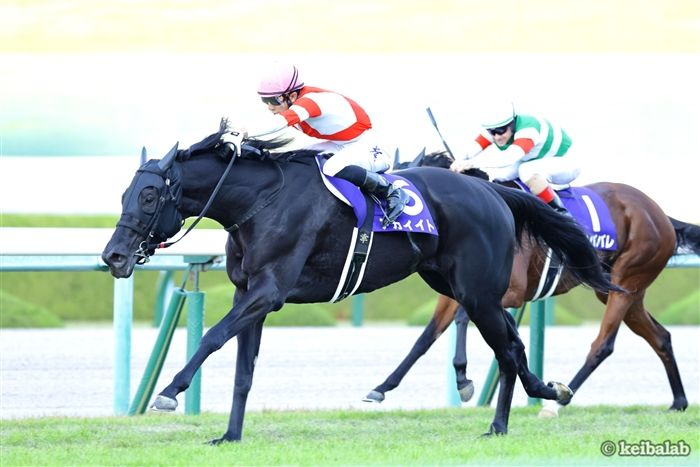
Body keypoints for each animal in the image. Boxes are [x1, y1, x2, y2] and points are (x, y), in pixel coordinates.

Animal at [102, 124, 622, 443]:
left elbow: (211, 337)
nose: (114, 256)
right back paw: (540, 397)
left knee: (508, 348)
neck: (261, 201)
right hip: (460, 288)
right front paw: (230, 435)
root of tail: (491, 188)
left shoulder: (268, 293)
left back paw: (511, 416)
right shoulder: (248, 293)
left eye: (149, 196)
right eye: (124, 193)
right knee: (510, 344)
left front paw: (170, 391)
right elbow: (243, 370)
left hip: (477, 292)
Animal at [365, 151, 699, 416]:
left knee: (602, 345)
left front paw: (463, 378)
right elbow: (426, 337)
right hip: (623, 290)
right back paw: (679, 401)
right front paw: (383, 386)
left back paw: (557, 402)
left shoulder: (505, 293)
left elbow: (463, 320)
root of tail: (661, 215)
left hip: (628, 277)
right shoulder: (456, 292)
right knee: (661, 336)